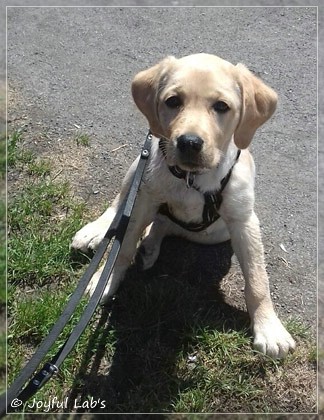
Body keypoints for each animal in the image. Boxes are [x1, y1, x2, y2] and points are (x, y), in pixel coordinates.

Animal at [71, 52, 296, 360]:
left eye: (222, 106)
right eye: (173, 101)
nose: (189, 142)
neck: (192, 179)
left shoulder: (243, 220)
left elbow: (257, 279)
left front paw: (268, 328)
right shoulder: (143, 200)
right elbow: (123, 247)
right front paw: (106, 281)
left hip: (212, 234)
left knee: (164, 225)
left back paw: (150, 246)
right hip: (139, 164)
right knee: (121, 205)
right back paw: (97, 231)